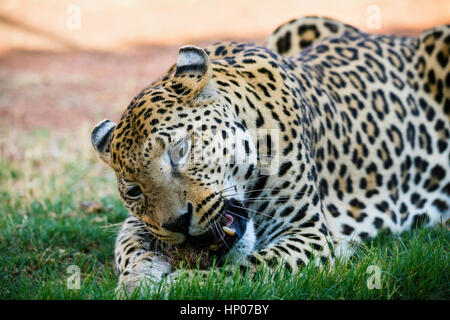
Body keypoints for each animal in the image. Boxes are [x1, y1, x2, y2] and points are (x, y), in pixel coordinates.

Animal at [89, 15, 448, 296]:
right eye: (134, 190)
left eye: (180, 149)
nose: (178, 221)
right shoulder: (142, 224)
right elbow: (129, 248)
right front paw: (135, 281)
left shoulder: (309, 234)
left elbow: (246, 267)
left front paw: (184, 284)